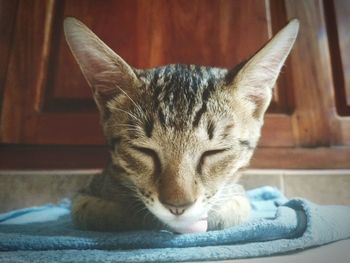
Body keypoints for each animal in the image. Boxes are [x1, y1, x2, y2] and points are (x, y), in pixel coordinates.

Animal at [63, 17, 298, 234]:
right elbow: (99, 211)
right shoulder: (87, 194)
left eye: (215, 152)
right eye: (144, 150)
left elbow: (235, 206)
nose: (177, 206)